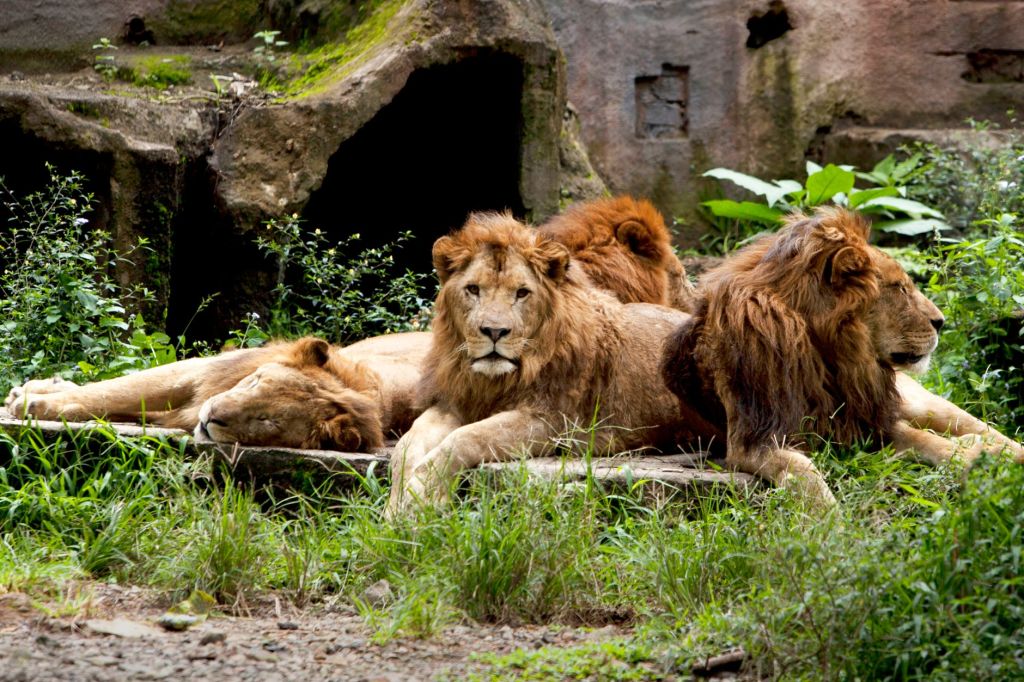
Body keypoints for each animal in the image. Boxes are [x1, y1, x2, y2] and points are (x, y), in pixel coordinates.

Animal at [4, 332, 430, 452]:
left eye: (266, 421)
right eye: (256, 382)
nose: (211, 417)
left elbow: (113, 401)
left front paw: (35, 404)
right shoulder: (199, 371)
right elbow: (115, 390)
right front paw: (30, 400)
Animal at [386, 212, 690, 516]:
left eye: (522, 293)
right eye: (473, 289)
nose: (494, 331)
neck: (492, 381)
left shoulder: (551, 422)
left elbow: (466, 437)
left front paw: (420, 497)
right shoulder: (453, 402)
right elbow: (405, 446)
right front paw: (395, 506)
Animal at [660, 208, 1024, 504]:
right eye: (899, 288)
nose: (941, 321)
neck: (826, 356)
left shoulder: (870, 421)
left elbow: (931, 442)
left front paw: (983, 459)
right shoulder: (754, 438)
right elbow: (804, 473)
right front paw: (827, 524)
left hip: (924, 404)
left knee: (982, 429)